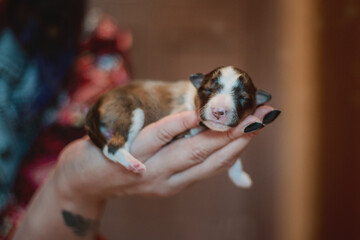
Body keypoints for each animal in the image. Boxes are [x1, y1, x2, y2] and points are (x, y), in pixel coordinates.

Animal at [85, 65, 270, 188]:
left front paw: (241, 177)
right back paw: (133, 163)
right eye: (208, 90)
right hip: (131, 111)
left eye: (243, 98)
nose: (219, 111)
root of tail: (97, 103)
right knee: (111, 147)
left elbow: (236, 160)